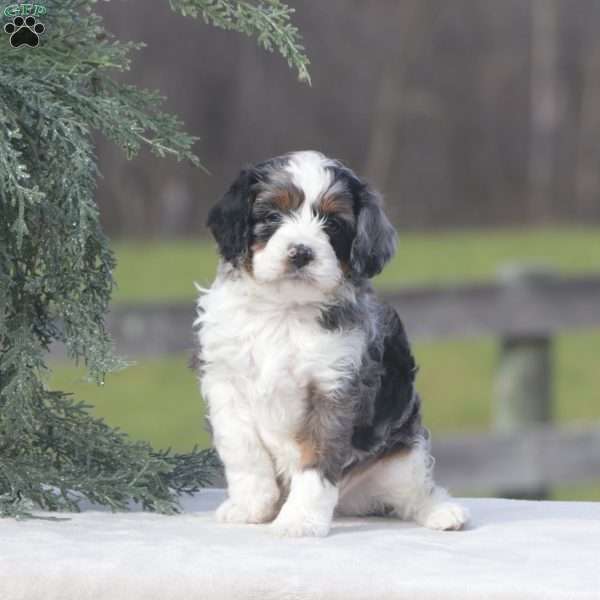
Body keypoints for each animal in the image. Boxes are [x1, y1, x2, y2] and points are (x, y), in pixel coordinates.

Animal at [192, 151, 468, 540]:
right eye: (272, 216)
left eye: (333, 224)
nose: (301, 253)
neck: (284, 311)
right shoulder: (225, 382)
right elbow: (243, 449)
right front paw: (251, 506)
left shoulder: (333, 390)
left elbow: (316, 463)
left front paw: (300, 520)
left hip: (403, 456)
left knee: (417, 491)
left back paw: (442, 512)